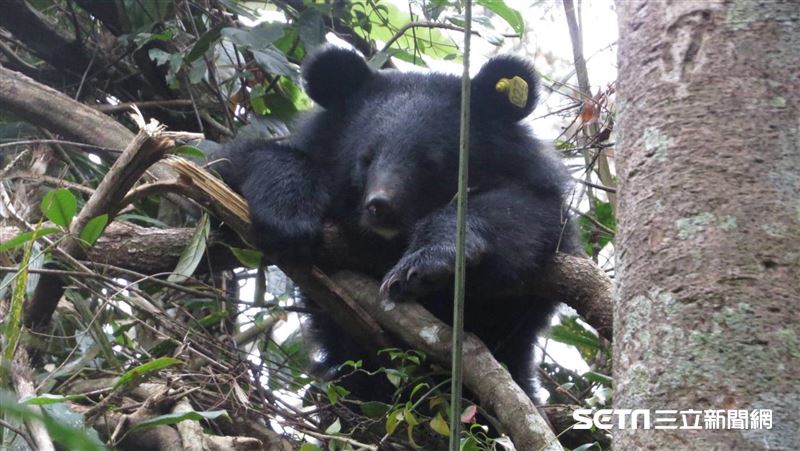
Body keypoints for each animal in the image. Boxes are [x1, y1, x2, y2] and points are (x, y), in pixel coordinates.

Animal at [215, 45, 578, 399]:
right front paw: (287, 218)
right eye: (366, 158)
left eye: (431, 163)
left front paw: (423, 266)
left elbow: (525, 215)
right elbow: (233, 165)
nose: (380, 206)